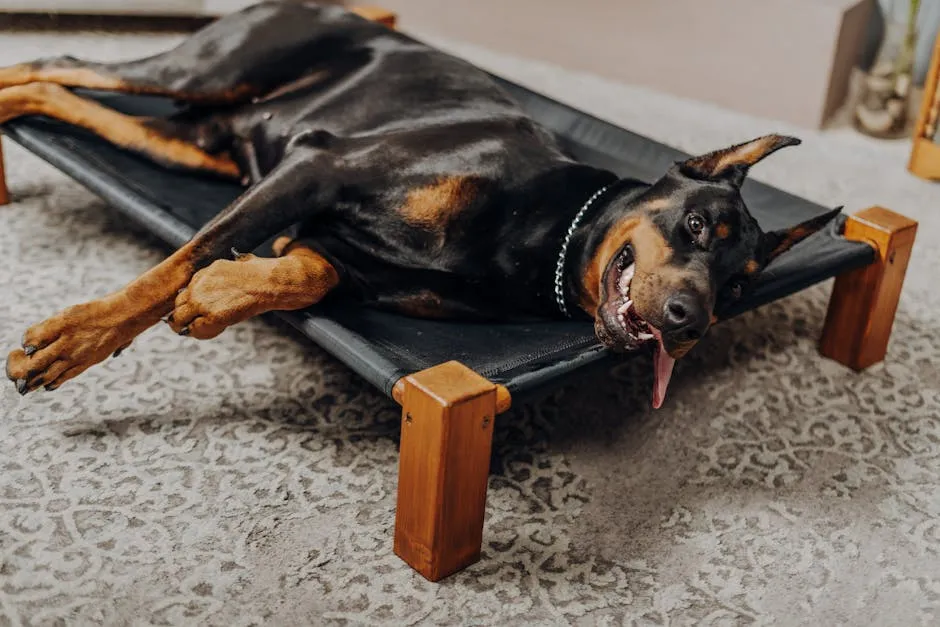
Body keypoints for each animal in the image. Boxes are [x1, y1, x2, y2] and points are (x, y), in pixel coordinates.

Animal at [0, 2, 836, 410]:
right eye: (696, 224)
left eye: (737, 287)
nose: (691, 323)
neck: (540, 233)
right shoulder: (322, 165)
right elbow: (182, 257)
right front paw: (77, 338)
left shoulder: (333, 237)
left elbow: (299, 269)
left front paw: (225, 291)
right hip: (210, 67)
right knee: (62, 60)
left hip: (189, 143)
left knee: (62, 92)